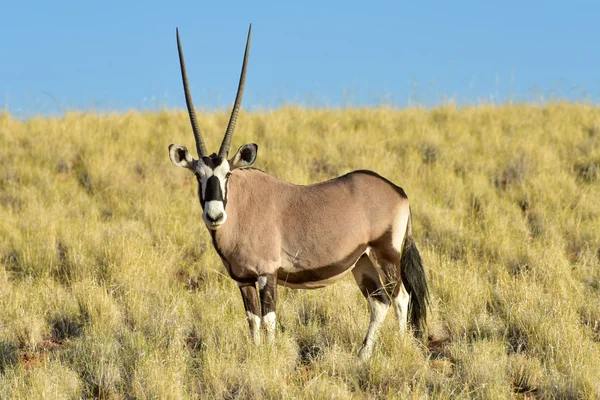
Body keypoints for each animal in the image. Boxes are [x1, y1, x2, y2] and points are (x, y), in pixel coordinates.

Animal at [169, 25, 428, 360]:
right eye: (198, 175)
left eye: (228, 174)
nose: (215, 214)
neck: (241, 207)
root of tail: (398, 191)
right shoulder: (243, 280)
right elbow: (252, 322)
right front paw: (256, 357)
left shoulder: (267, 275)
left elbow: (268, 321)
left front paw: (268, 359)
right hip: (362, 262)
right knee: (379, 302)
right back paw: (363, 356)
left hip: (386, 255)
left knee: (400, 298)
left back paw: (399, 350)